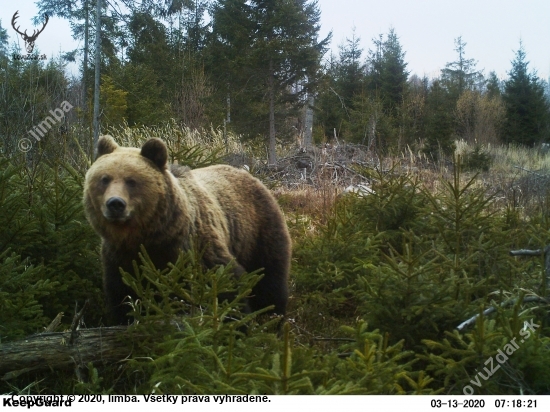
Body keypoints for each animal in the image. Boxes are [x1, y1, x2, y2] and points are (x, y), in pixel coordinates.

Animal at [84, 135, 292, 326]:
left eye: (131, 181)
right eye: (104, 179)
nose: (115, 204)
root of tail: (249, 174)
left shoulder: (195, 247)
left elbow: (224, 285)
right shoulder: (121, 259)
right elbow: (123, 297)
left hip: (258, 233)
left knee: (269, 280)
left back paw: (273, 318)